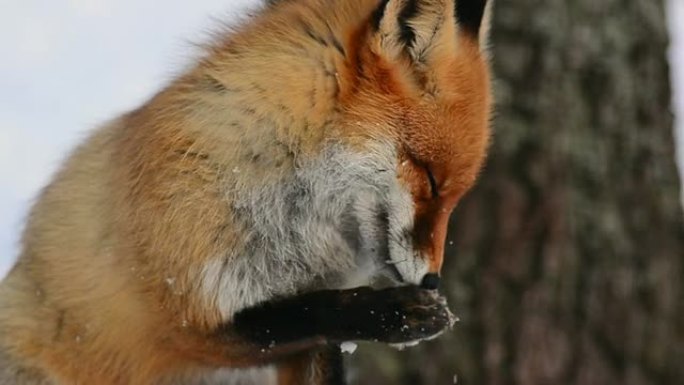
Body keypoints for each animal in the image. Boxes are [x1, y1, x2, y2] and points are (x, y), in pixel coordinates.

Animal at [0, 0, 492, 382]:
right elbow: (312, 311)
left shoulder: (310, 346)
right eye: (430, 178)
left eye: (455, 194)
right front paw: (401, 313)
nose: (433, 280)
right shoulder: (186, 316)